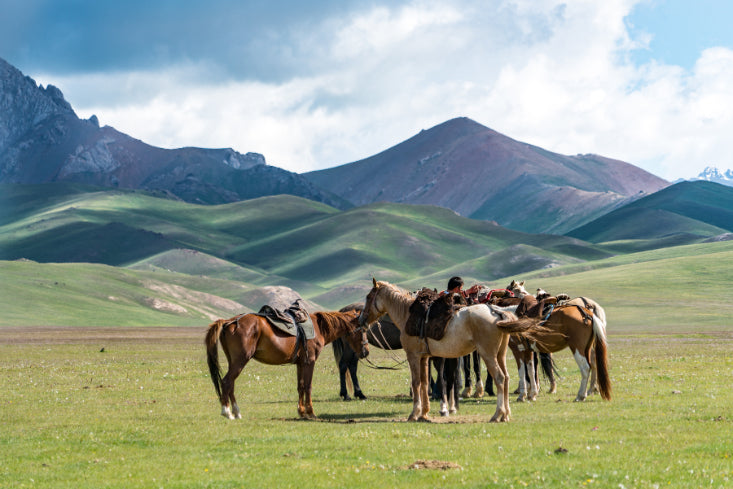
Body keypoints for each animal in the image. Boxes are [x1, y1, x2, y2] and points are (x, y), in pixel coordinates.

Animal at [205, 309, 369, 420]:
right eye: (363, 330)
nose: (366, 352)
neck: (319, 328)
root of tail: (228, 322)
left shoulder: (300, 363)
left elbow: (300, 386)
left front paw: (301, 412)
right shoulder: (309, 362)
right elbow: (308, 386)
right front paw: (311, 412)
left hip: (233, 361)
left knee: (230, 384)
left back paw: (237, 412)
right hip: (240, 360)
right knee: (226, 381)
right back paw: (227, 412)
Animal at [358, 279, 549, 422]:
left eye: (368, 296)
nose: (360, 319)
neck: (407, 314)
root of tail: (496, 311)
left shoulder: (413, 356)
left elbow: (416, 382)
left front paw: (414, 413)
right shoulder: (424, 357)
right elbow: (425, 383)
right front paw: (425, 413)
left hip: (488, 354)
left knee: (500, 378)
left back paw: (497, 415)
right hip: (500, 354)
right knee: (507, 377)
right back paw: (506, 414)